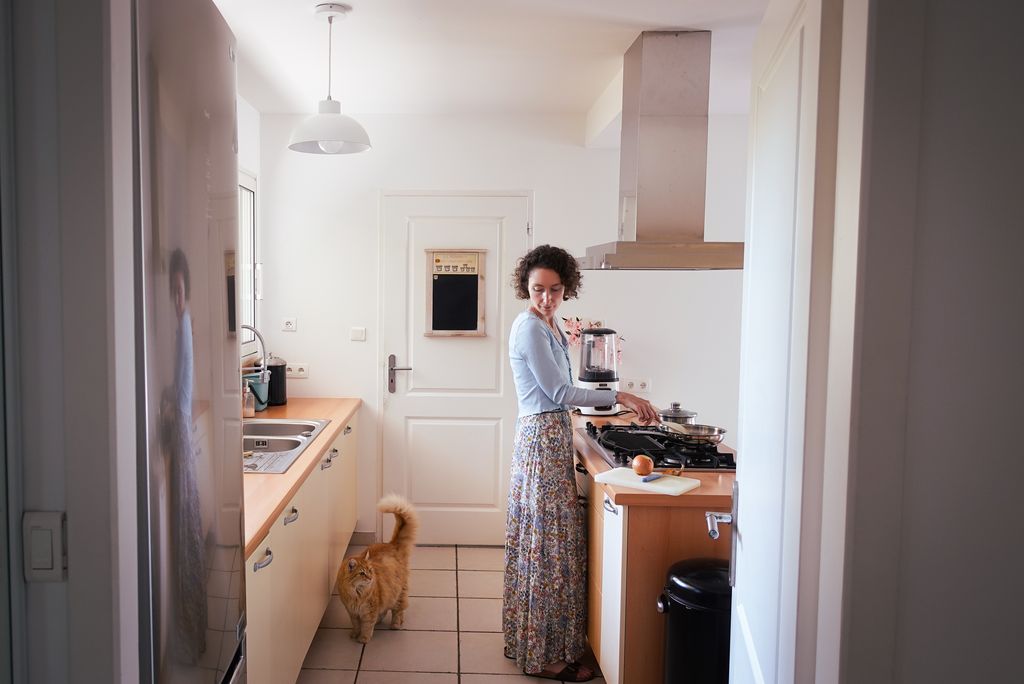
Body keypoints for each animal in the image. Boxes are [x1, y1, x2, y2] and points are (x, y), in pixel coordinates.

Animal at [333, 491, 417, 643]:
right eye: (362, 573)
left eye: (370, 571)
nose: (371, 578)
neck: (356, 594)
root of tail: (391, 544)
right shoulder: (352, 612)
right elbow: (356, 625)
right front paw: (354, 634)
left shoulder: (368, 611)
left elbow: (366, 627)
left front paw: (363, 639)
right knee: (387, 610)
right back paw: (382, 621)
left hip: (398, 593)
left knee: (398, 610)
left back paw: (396, 625)